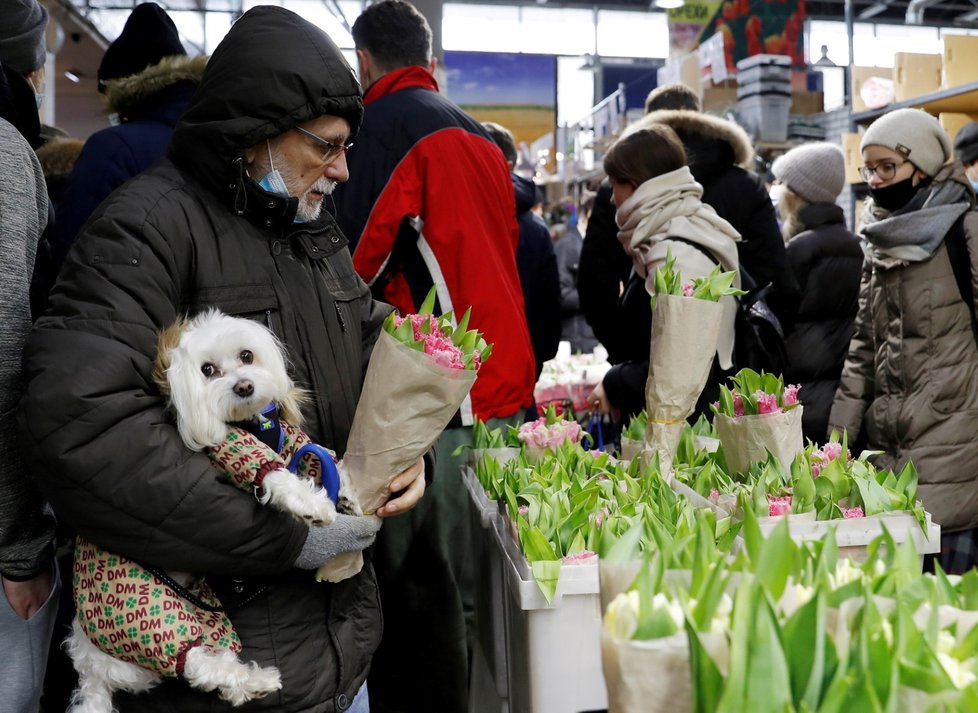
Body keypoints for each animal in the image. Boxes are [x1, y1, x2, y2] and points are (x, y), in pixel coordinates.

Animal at [68, 312, 358, 712]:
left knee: (212, 658)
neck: (254, 423)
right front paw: (314, 506)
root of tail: (91, 668)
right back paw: (256, 681)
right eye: (207, 370)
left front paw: (347, 492)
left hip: (206, 612)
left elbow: (319, 455)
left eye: (247, 355)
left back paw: (245, 685)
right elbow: (274, 475)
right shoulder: (232, 449)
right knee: (194, 662)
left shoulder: (289, 439)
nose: (245, 386)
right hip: (143, 613)